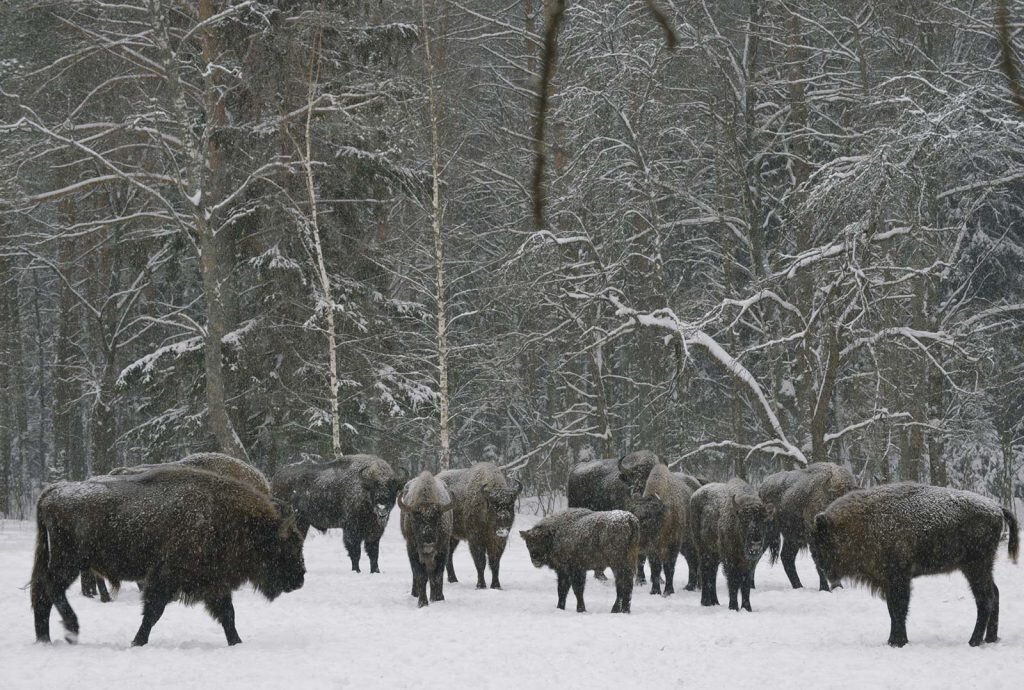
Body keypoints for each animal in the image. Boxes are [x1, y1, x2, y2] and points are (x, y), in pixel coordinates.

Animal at [272, 454, 407, 573]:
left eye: (392, 487)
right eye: (374, 487)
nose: (382, 502)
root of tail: (276, 479)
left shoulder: (375, 532)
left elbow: (373, 553)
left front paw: (375, 571)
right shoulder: (351, 531)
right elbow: (355, 552)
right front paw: (356, 570)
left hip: (302, 523)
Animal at [397, 470, 454, 606]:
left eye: (437, 519)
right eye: (414, 519)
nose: (428, 542)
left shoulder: (443, 550)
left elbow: (437, 575)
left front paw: (438, 598)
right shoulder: (412, 550)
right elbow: (420, 576)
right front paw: (422, 602)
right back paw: (415, 593)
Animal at [692, 475, 770, 610]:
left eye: (763, 521)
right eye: (744, 521)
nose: (755, 543)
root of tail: (694, 496)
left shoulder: (749, 563)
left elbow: (745, 585)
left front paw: (747, 608)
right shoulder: (730, 560)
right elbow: (733, 582)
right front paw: (733, 607)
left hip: (714, 555)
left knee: (712, 574)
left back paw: (715, 602)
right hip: (703, 550)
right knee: (705, 572)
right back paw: (706, 602)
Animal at [757, 458, 860, 589]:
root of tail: (762, 487)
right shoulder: (815, 540)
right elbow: (820, 565)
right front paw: (826, 588)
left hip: (792, 537)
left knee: (787, 557)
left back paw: (799, 586)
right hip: (768, 533)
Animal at [811, 479, 1019, 647]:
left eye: (822, 542)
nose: (823, 568)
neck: (858, 525)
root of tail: (996, 507)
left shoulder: (899, 578)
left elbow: (899, 609)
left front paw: (898, 642)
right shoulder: (889, 582)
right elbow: (892, 609)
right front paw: (892, 641)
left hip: (975, 567)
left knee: (985, 598)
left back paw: (974, 641)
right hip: (982, 567)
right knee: (994, 593)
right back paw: (990, 639)